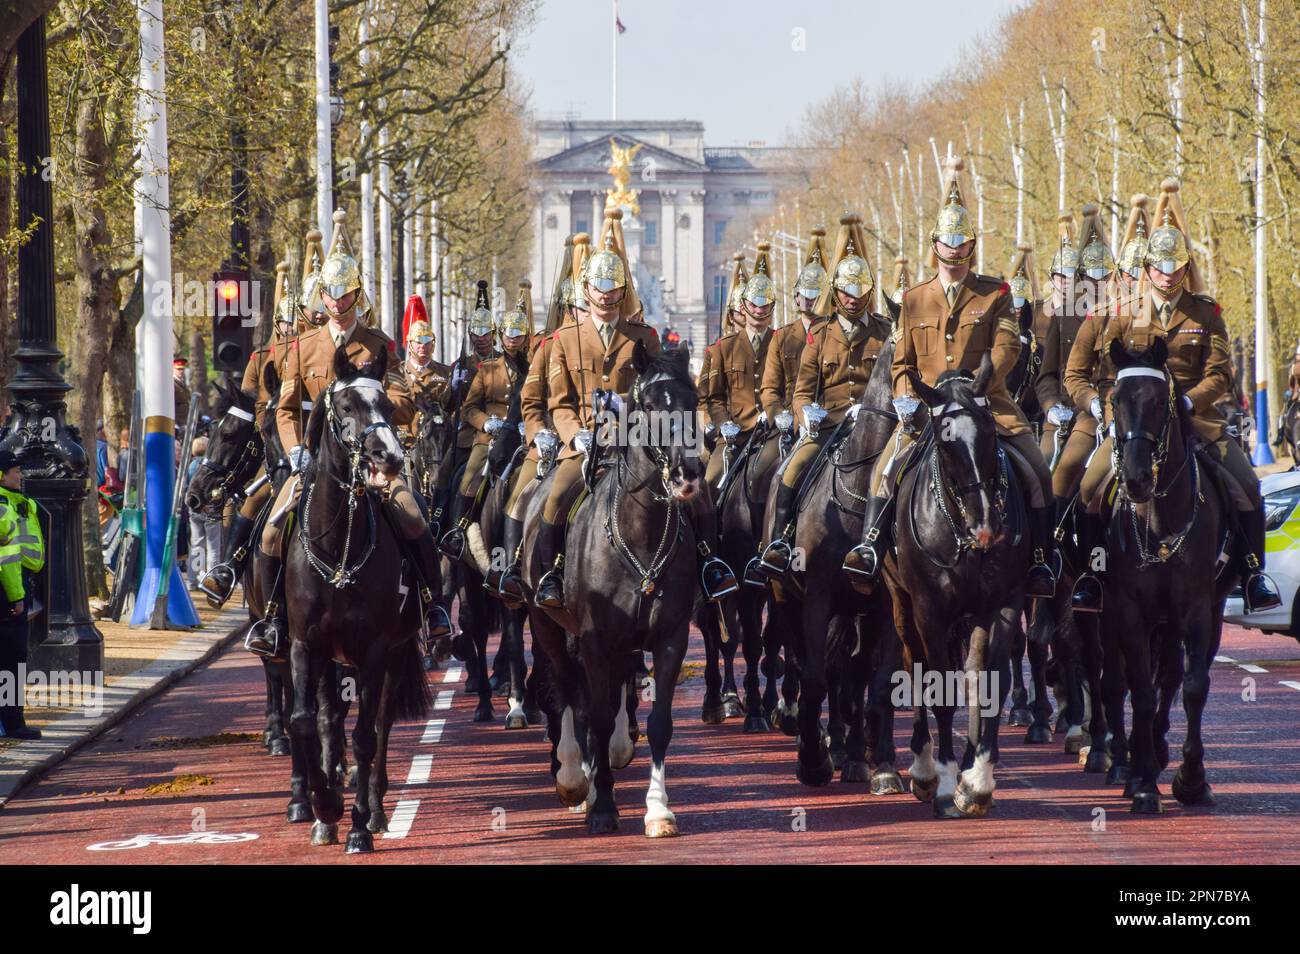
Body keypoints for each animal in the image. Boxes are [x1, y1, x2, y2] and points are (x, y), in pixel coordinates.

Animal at [284, 348, 431, 852]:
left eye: (387, 404)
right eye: (346, 405)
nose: (389, 456)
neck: (338, 550)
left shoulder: (374, 650)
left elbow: (367, 735)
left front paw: (359, 825)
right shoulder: (305, 645)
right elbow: (306, 721)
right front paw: (325, 806)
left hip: (393, 656)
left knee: (380, 726)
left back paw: (377, 812)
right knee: (329, 721)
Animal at [1097, 335, 1227, 816]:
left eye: (1159, 402)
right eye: (1115, 400)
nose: (1135, 480)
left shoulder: (1198, 609)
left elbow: (1193, 686)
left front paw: (1192, 780)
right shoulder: (1128, 610)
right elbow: (1140, 690)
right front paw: (1145, 783)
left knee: (1171, 676)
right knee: (1116, 683)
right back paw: (1127, 761)